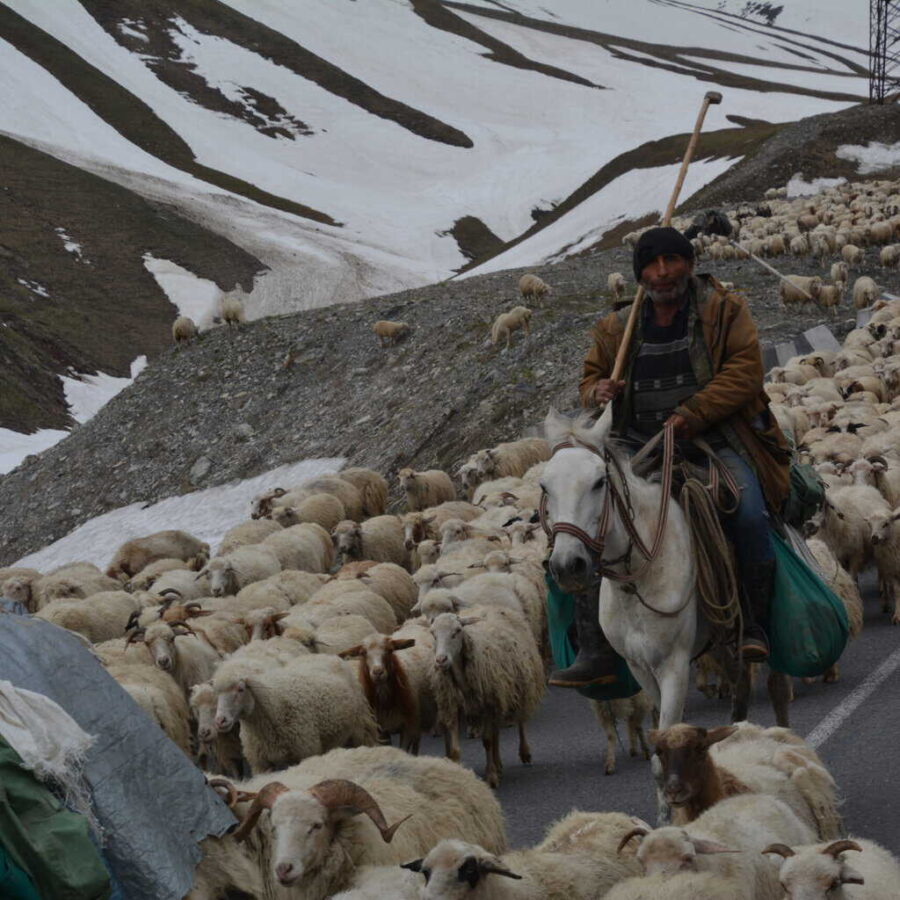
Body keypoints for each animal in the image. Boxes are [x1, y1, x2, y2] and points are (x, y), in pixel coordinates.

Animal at [213, 652, 378, 768]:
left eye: (240, 689)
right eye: (217, 692)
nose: (220, 720)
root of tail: (323, 655)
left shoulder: (305, 752)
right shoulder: (260, 764)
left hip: (361, 726)